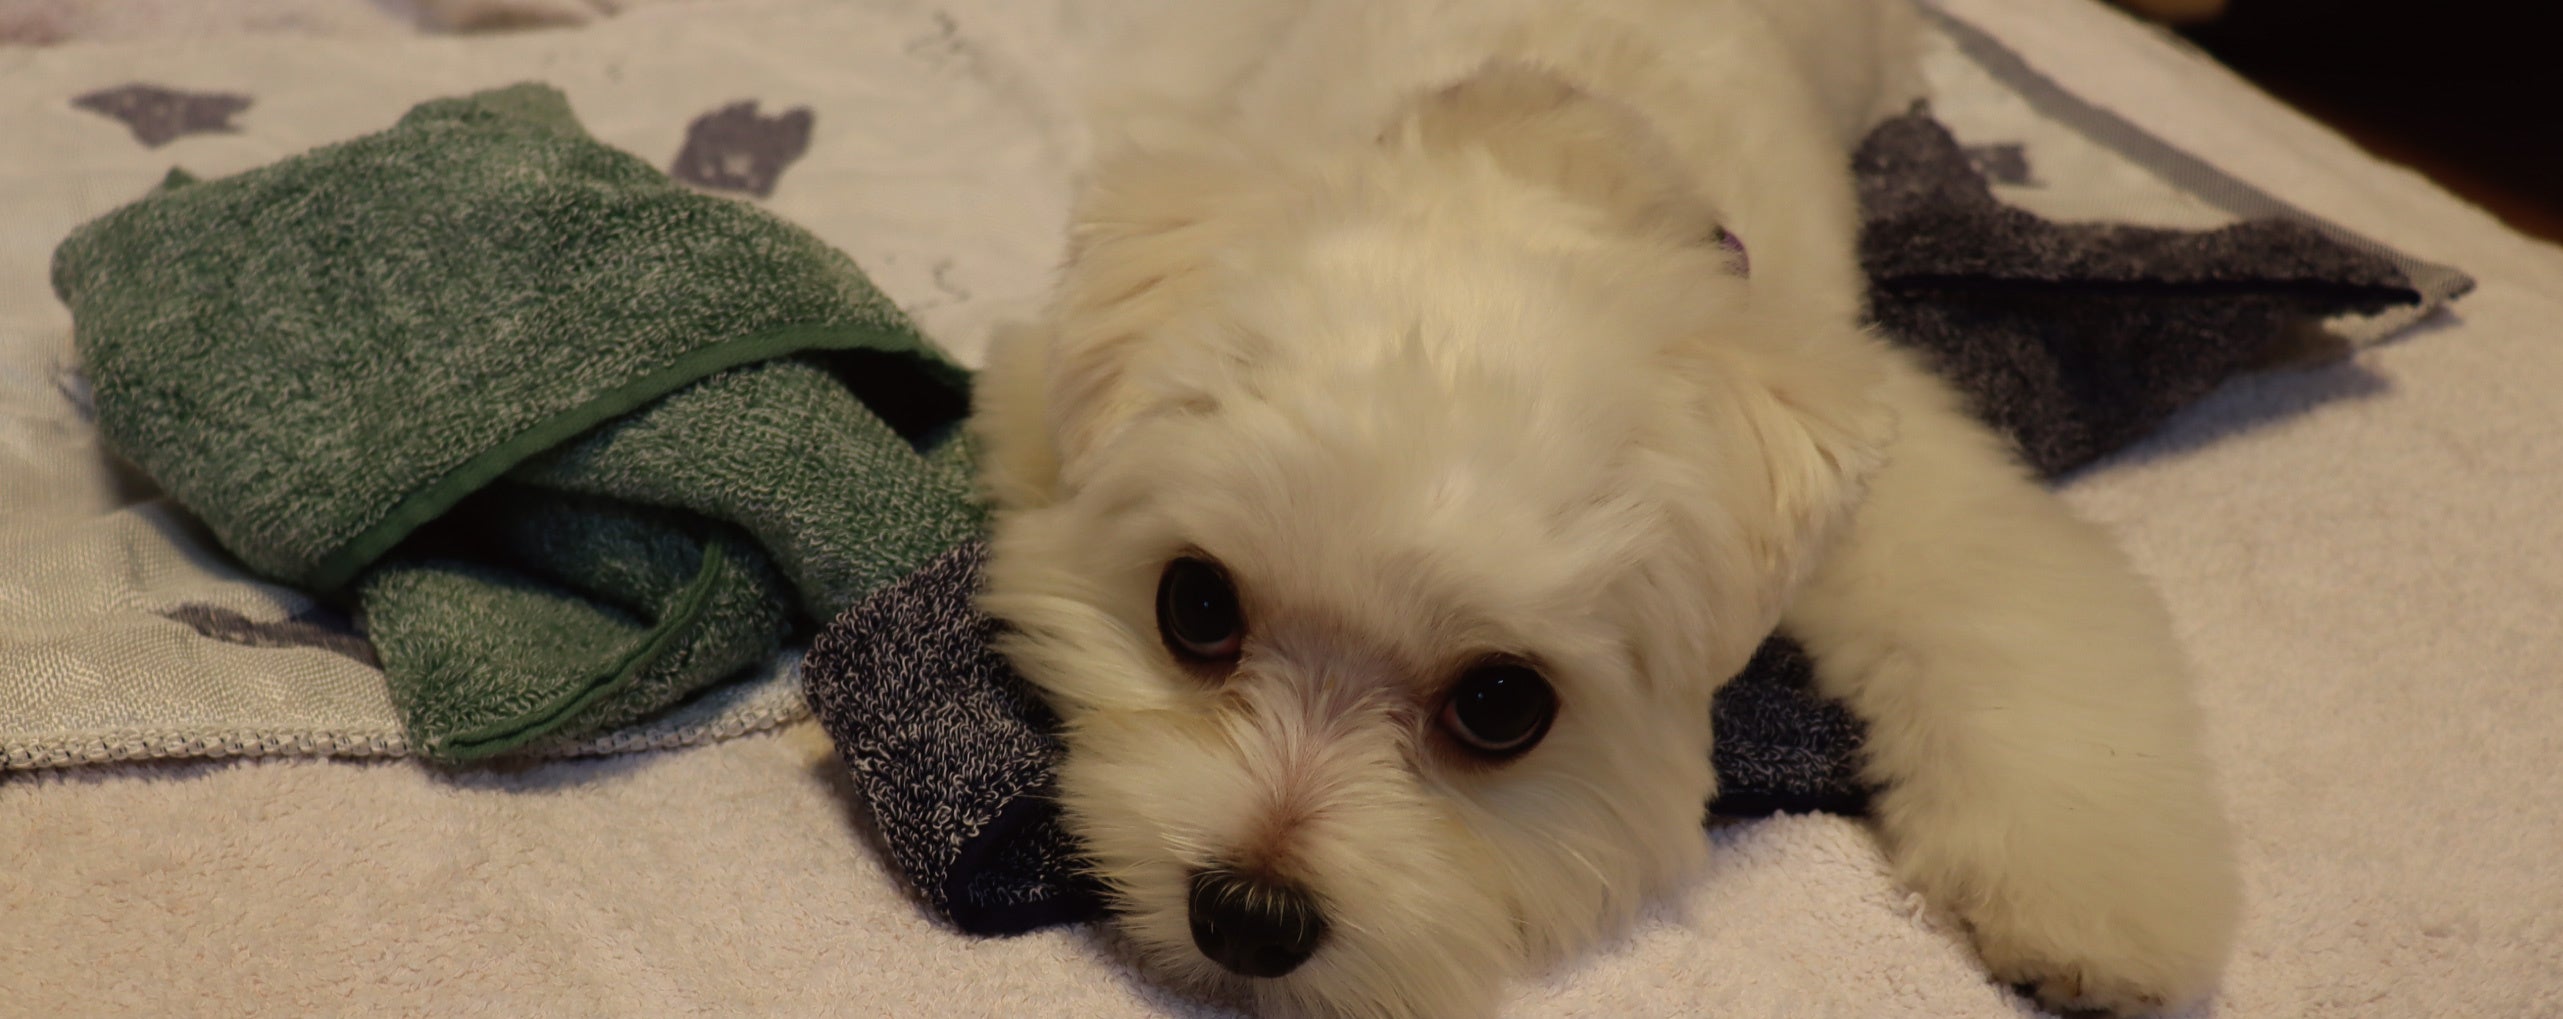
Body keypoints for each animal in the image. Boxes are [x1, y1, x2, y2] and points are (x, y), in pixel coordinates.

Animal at [968, 1, 2241, 1015]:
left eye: (1499, 706)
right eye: (1194, 605)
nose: (1246, 914)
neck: (1548, 143)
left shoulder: (1890, 462)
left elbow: (2000, 602)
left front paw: (2096, 895)